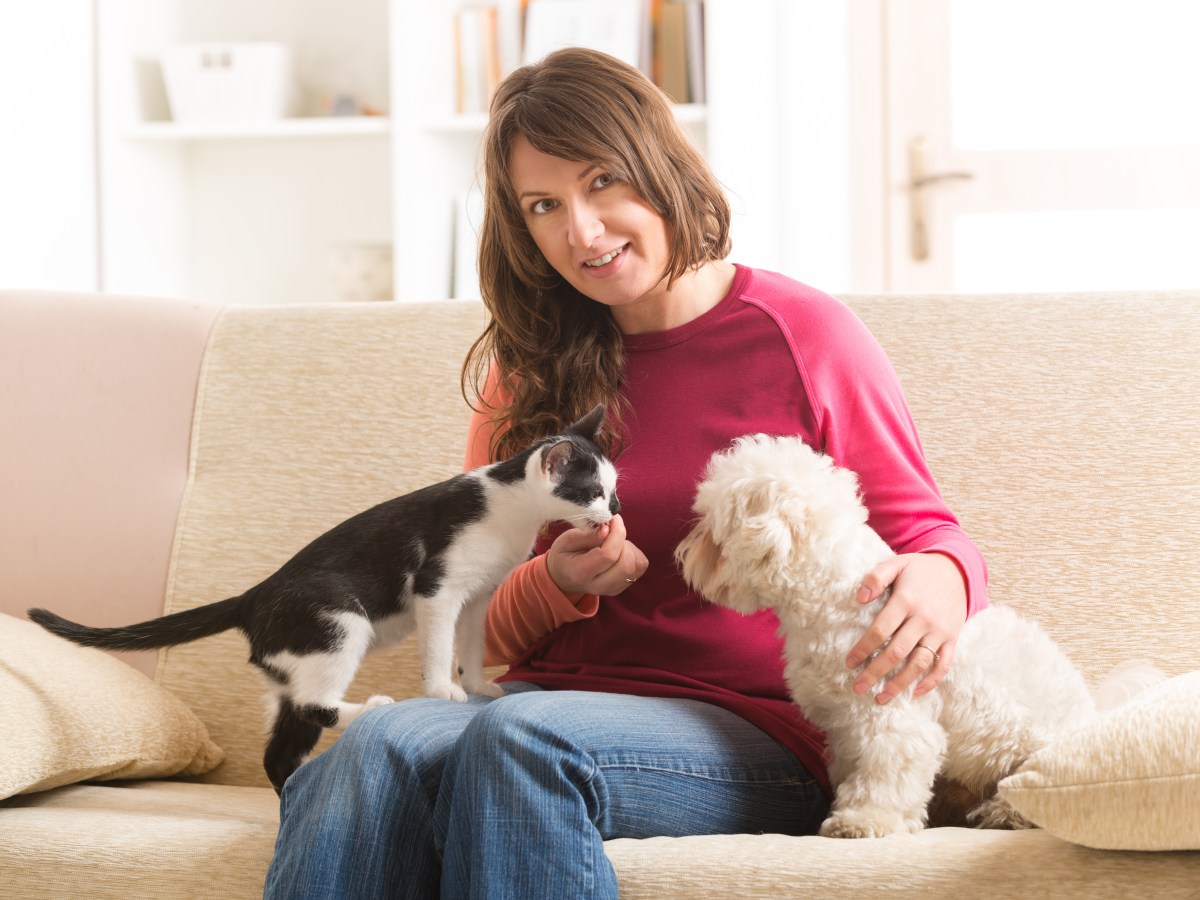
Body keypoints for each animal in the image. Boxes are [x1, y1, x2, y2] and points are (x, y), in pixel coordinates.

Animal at [29, 405, 619, 792]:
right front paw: (441, 690)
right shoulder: (438, 588)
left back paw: (289, 794)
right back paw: (375, 706)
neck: (511, 511)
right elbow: (438, 645)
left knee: (281, 745)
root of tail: (253, 596)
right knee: (318, 704)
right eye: (591, 491)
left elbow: (470, 644)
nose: (613, 512)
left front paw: (474, 683)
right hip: (339, 622)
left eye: (612, 490)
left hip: (291, 670)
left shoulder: (478, 598)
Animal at [676, 436, 1099, 840]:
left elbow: (884, 779)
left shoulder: (893, 717)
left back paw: (1003, 814)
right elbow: (853, 773)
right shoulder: (845, 726)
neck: (837, 597)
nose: (682, 554)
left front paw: (862, 821)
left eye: (710, 530)